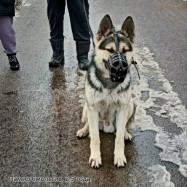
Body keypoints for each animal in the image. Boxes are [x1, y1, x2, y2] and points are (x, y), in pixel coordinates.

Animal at [76, 14, 136, 168]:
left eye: (125, 51)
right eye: (110, 50)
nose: (120, 68)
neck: (110, 83)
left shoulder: (122, 108)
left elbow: (118, 138)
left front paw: (119, 156)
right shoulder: (92, 108)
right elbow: (95, 138)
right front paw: (95, 157)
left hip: (131, 105)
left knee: (123, 126)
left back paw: (126, 133)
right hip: (86, 108)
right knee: (89, 124)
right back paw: (84, 130)